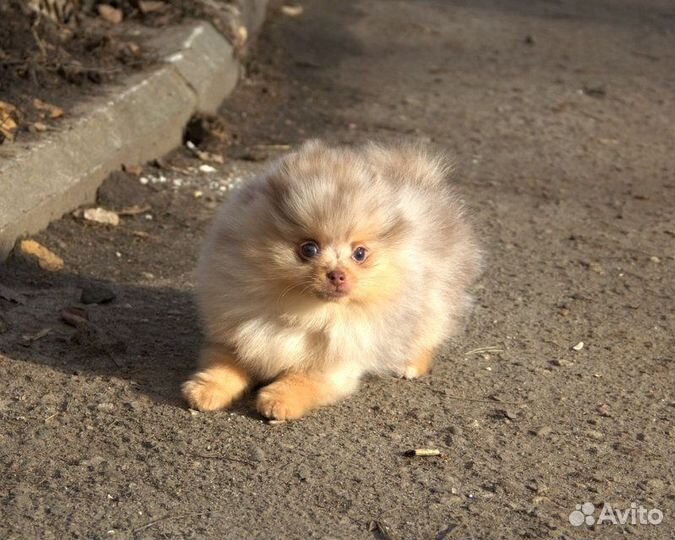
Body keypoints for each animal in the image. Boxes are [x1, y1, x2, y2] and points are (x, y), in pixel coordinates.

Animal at [182, 139, 484, 418]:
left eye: (360, 254)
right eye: (309, 249)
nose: (337, 274)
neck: (304, 313)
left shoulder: (334, 364)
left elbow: (302, 378)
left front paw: (278, 401)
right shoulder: (238, 336)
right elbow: (223, 365)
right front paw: (204, 391)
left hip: (432, 299)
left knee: (427, 332)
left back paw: (408, 365)